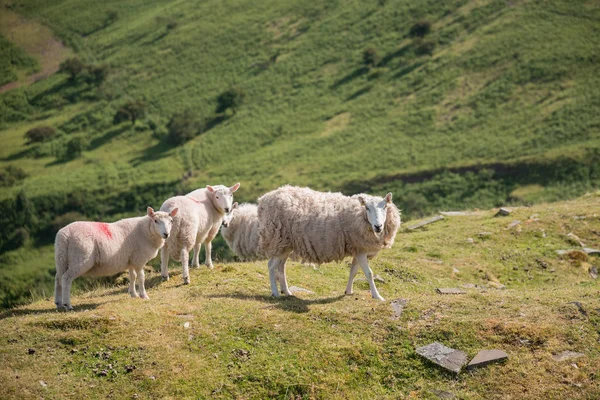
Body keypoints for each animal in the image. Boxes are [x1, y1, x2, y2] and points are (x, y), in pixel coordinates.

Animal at [256, 186, 400, 302]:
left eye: (385, 207)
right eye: (367, 208)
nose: (378, 226)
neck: (358, 215)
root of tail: (263, 199)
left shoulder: (358, 248)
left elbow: (353, 271)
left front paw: (348, 291)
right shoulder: (360, 250)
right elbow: (369, 273)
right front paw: (377, 296)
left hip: (285, 244)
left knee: (281, 267)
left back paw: (286, 291)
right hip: (276, 238)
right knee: (271, 266)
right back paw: (275, 292)